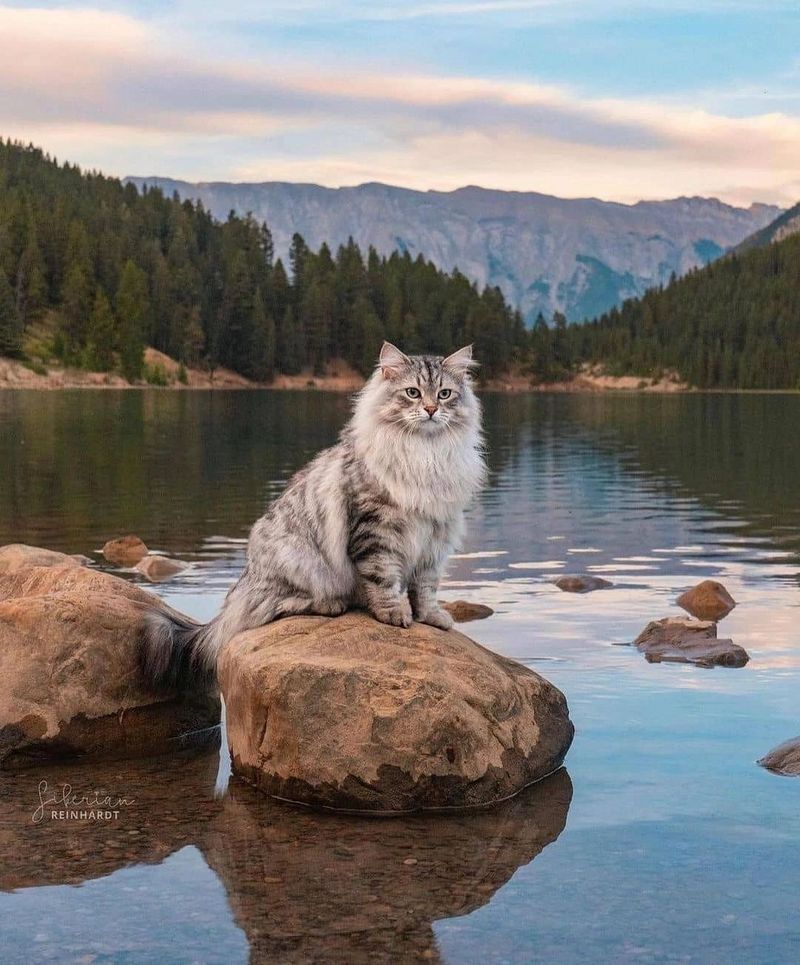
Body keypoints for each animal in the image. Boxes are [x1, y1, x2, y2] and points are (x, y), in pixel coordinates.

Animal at [141, 340, 484, 684]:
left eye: (444, 394)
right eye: (413, 392)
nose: (431, 410)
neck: (426, 455)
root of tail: (243, 585)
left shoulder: (436, 538)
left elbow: (426, 588)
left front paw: (431, 617)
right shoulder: (376, 528)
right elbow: (383, 577)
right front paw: (393, 613)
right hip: (300, 562)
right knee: (271, 610)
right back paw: (331, 604)